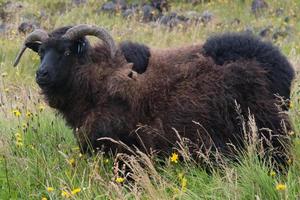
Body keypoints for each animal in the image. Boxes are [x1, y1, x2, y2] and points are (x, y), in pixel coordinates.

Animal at [13, 24, 292, 166]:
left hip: (265, 130)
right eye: (41, 52)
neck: (96, 80)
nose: (41, 74)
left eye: (67, 51)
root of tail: (281, 68)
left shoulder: (126, 147)